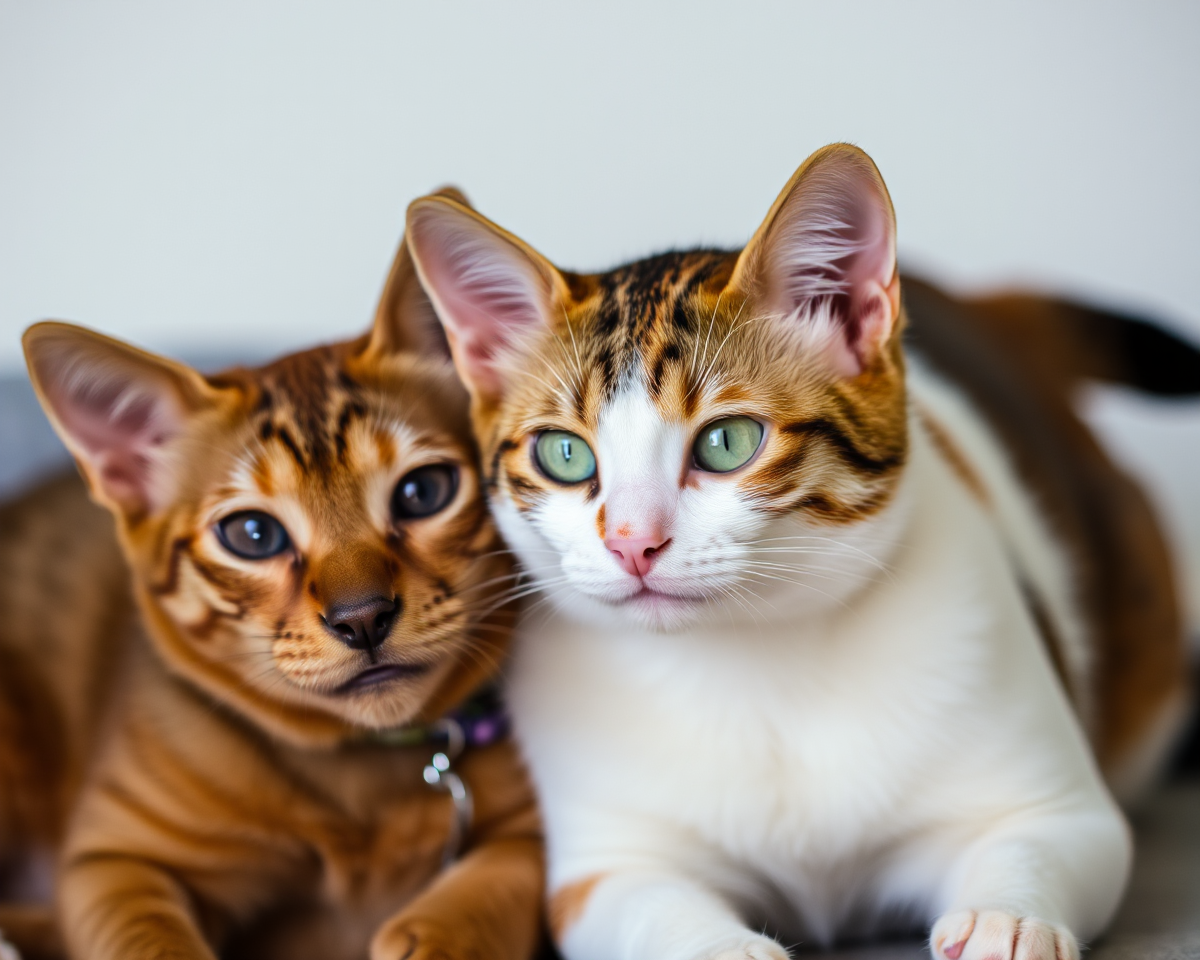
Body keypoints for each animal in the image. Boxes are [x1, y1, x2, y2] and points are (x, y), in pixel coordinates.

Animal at [0, 217, 542, 960]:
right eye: (253, 534)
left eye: (423, 492)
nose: (362, 617)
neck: (360, 779)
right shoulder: (111, 860)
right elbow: (149, 943)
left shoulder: (540, 828)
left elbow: (495, 884)